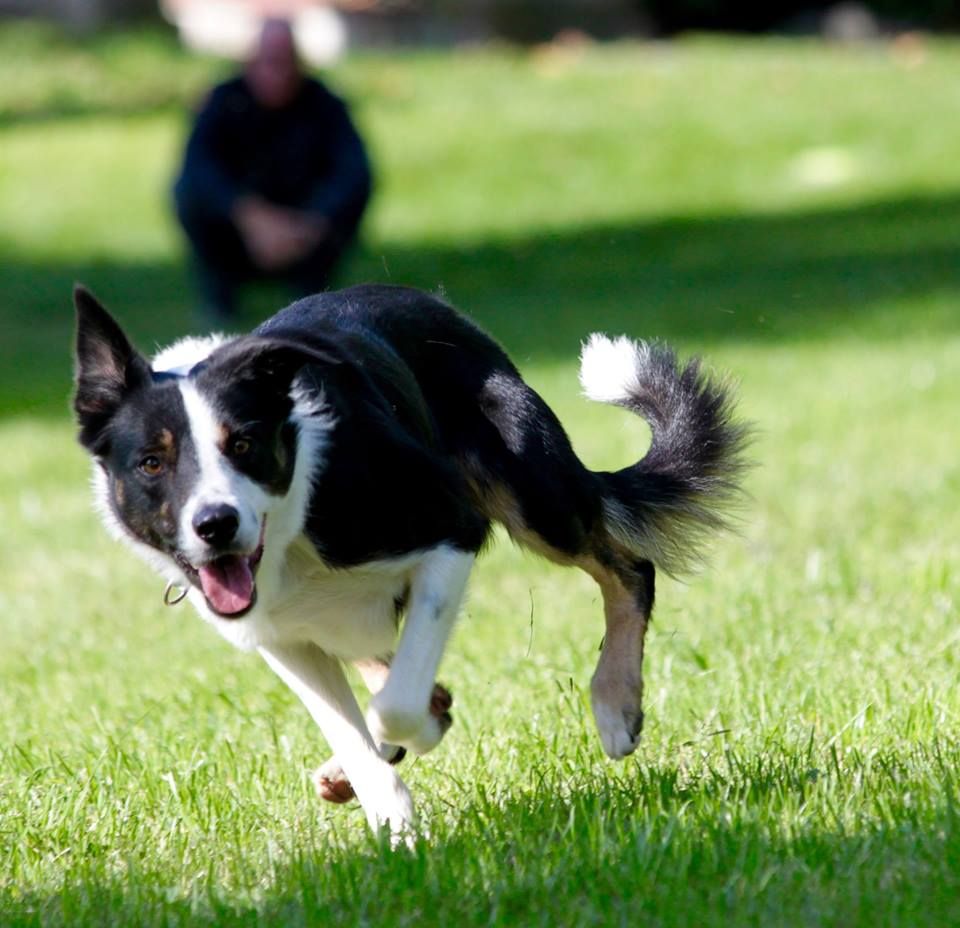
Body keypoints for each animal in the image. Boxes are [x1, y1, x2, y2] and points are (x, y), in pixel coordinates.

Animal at [75, 280, 752, 832]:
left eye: (242, 445)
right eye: (152, 463)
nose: (216, 525)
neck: (295, 527)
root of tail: (438, 306)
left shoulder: (451, 532)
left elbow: (393, 709)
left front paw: (409, 740)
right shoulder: (279, 633)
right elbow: (356, 724)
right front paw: (395, 829)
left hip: (536, 498)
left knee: (630, 569)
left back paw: (614, 705)